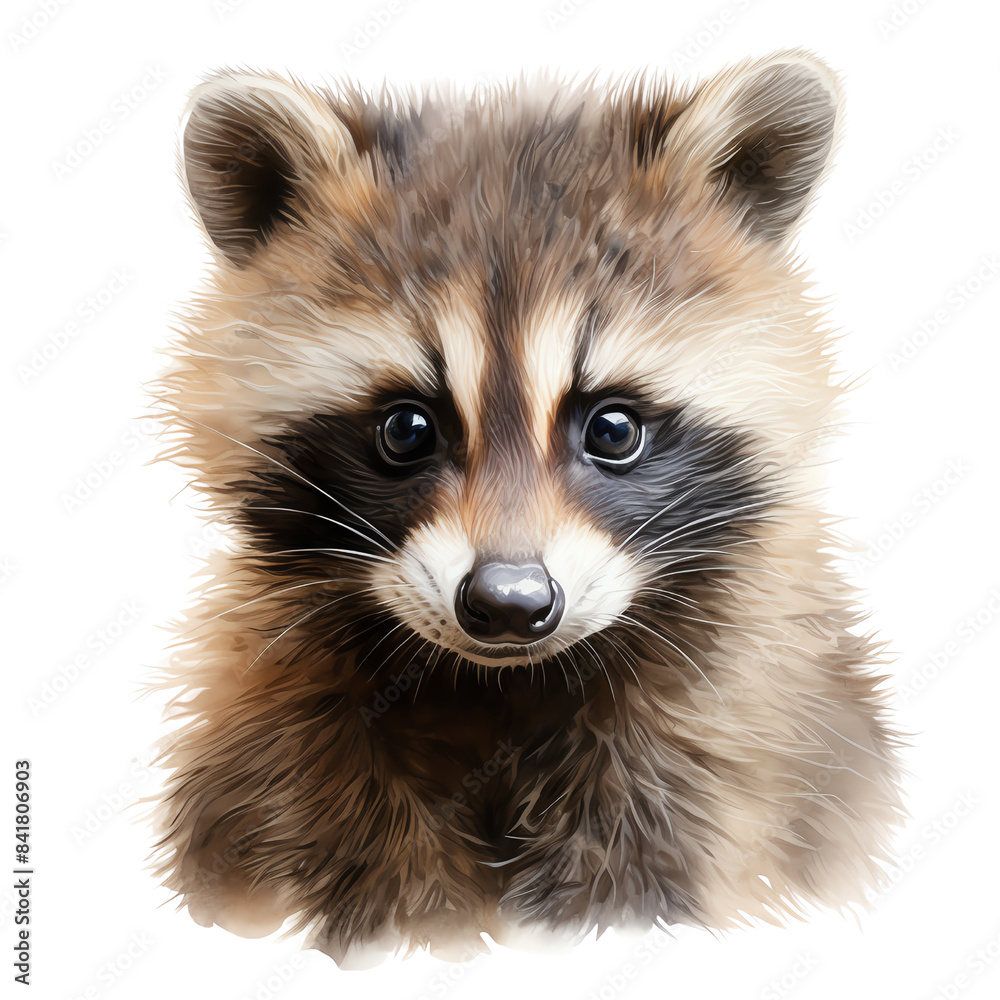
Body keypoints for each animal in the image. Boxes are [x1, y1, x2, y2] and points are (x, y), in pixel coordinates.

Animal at [150, 51, 904, 967]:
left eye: (613, 427)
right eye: (407, 427)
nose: (508, 604)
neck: (503, 689)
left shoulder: (728, 742)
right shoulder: (288, 746)